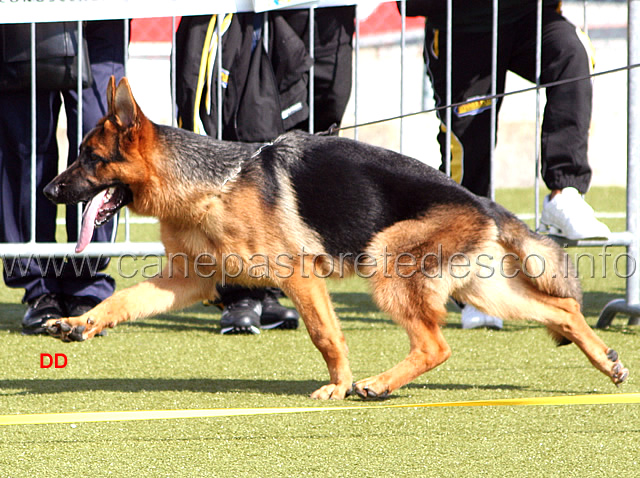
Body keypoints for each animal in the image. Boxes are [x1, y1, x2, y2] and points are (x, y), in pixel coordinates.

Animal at [42, 77, 628, 400]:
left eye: (89, 159)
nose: (48, 190)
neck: (212, 184)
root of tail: (482, 201)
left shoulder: (299, 276)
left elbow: (326, 335)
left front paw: (339, 385)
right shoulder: (188, 282)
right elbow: (123, 300)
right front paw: (79, 322)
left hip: (387, 260)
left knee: (435, 344)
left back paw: (377, 385)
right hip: (483, 291)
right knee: (561, 311)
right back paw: (606, 360)